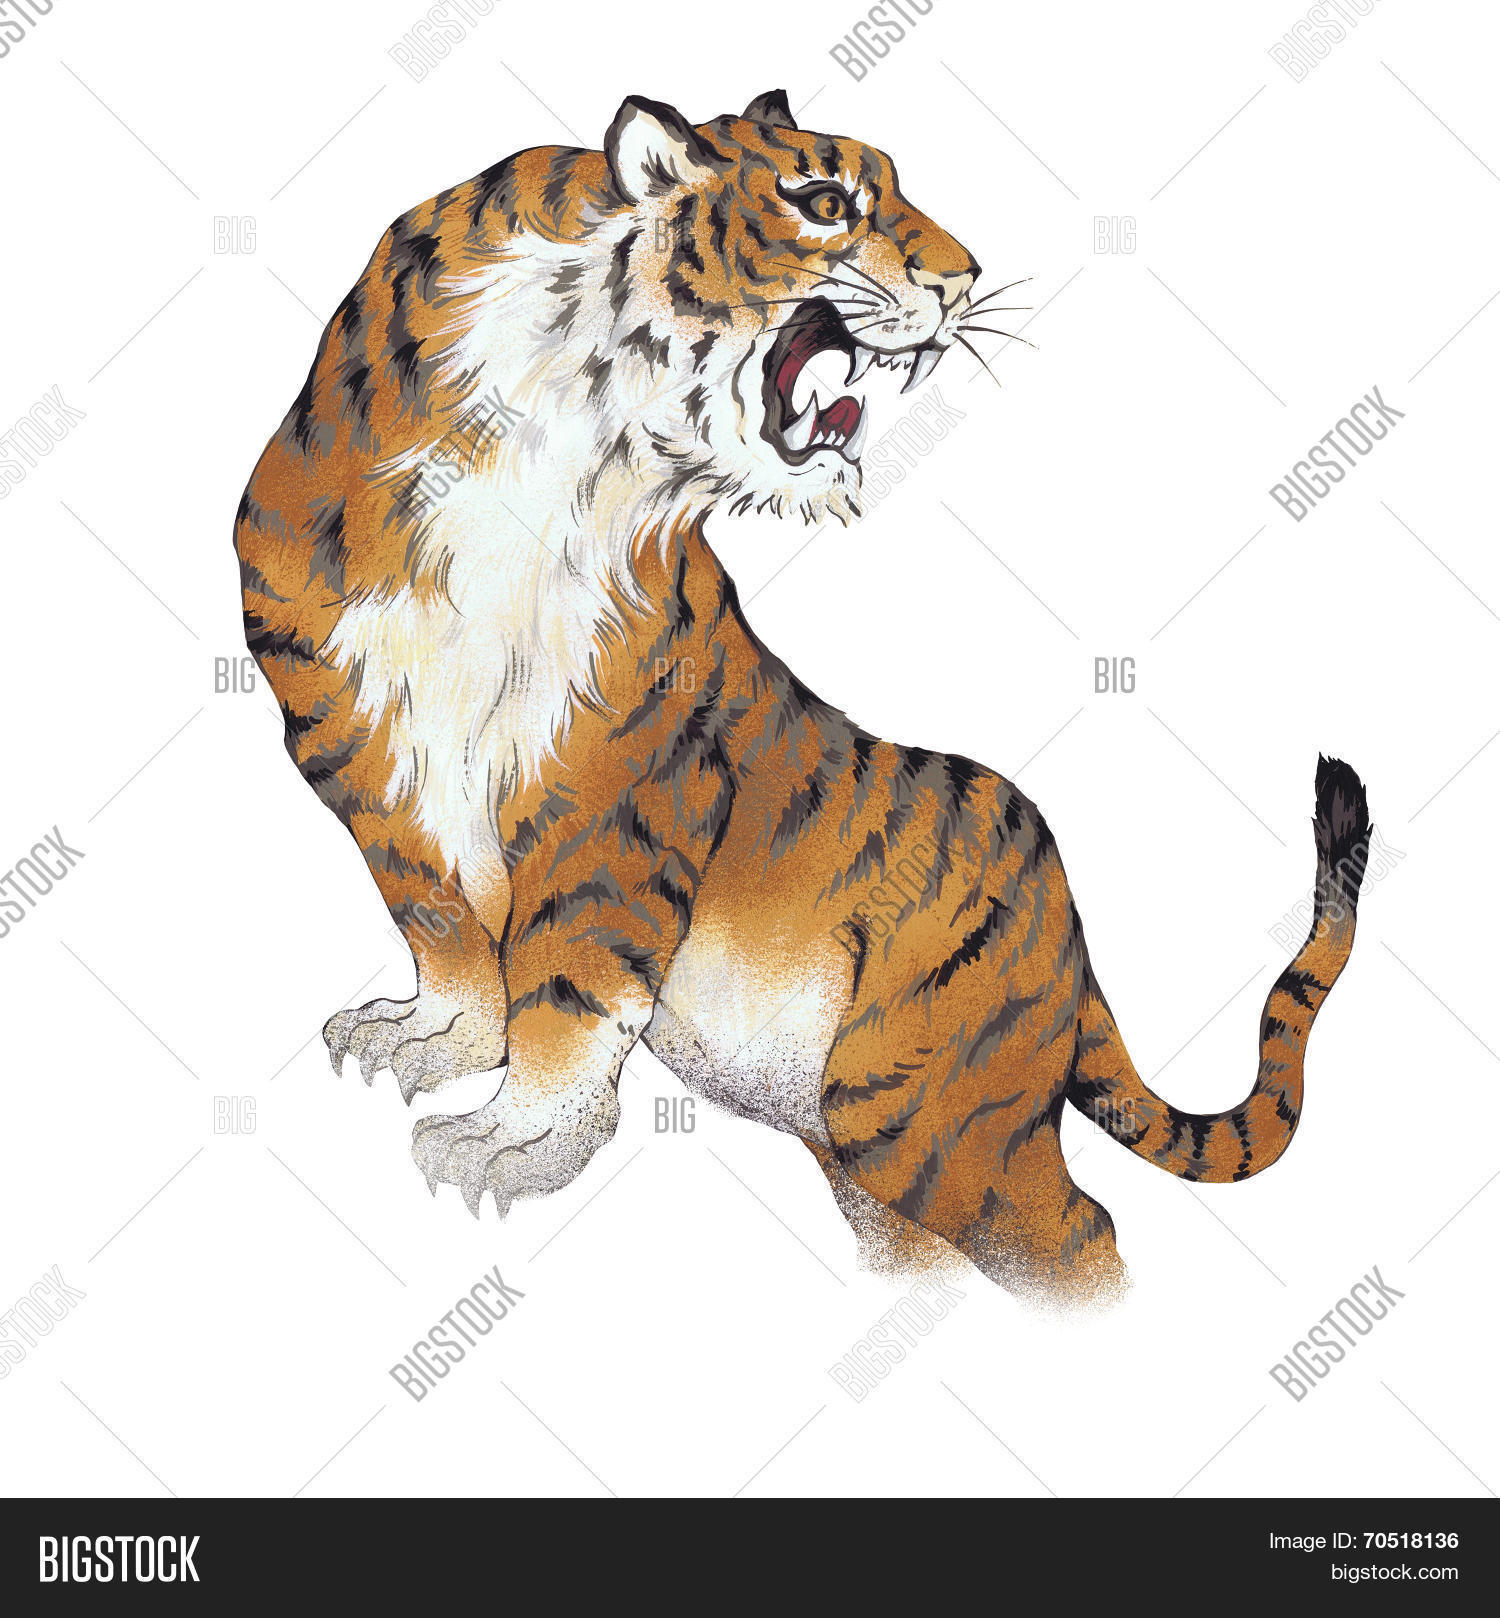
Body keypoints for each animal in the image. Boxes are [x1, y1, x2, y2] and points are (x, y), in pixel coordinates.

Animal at [234, 89, 1372, 1308]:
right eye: (826, 203)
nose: (967, 277)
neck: (555, 437)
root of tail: (1069, 932)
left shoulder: (616, 791)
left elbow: (568, 979)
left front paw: (515, 1139)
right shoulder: (358, 744)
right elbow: (437, 912)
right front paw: (435, 1039)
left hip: (920, 1113)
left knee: (1080, 1239)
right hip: (877, 1152)